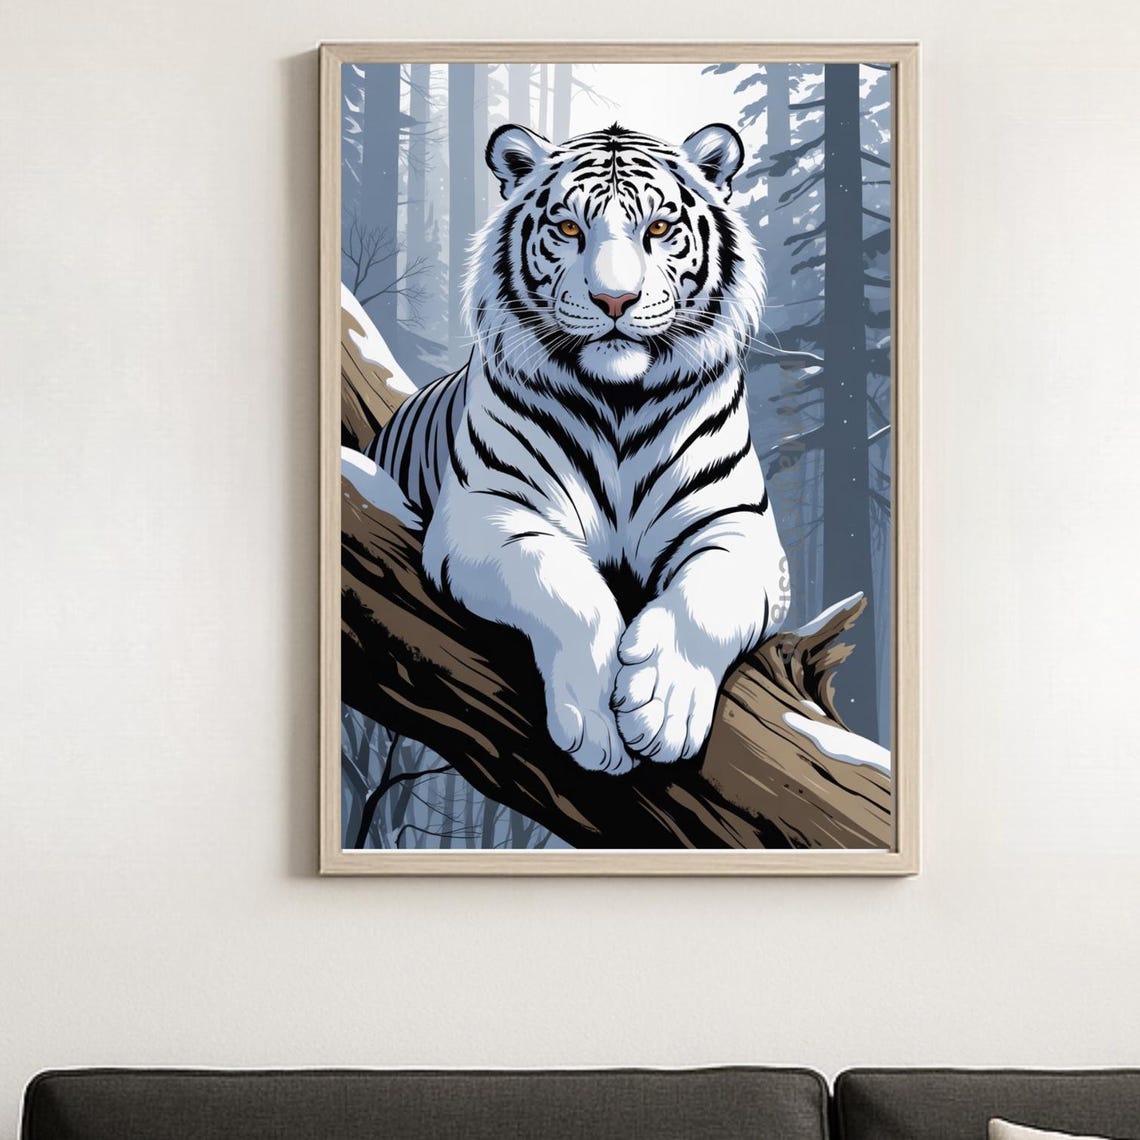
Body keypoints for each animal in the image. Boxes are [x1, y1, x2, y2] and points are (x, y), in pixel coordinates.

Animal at [370, 122, 787, 775]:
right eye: (569, 229)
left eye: (658, 229)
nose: (614, 301)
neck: (618, 401)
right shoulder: (488, 513)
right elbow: (563, 583)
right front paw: (597, 723)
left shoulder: (737, 525)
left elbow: (705, 599)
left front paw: (664, 707)